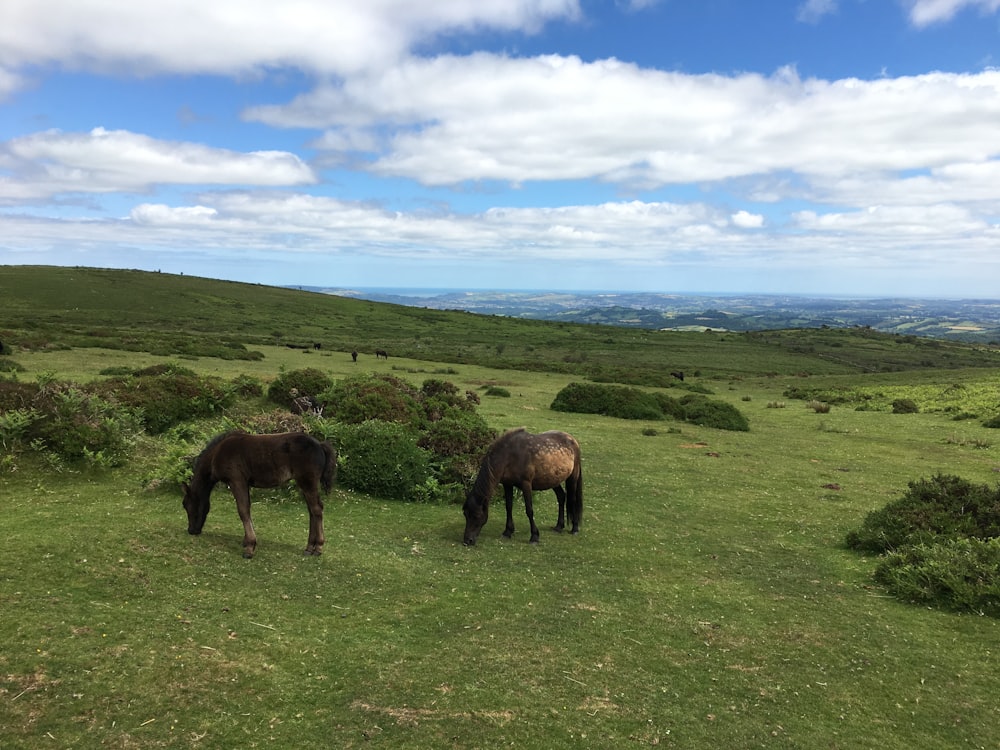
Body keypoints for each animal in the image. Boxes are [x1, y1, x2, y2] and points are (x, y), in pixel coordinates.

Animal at [181, 434, 336, 560]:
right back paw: (309, 547)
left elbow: (243, 511)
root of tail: (320, 444)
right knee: (312, 511)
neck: (217, 453)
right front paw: (246, 541)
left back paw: (318, 548)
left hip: (307, 482)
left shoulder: (237, 481)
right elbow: (247, 509)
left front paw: (250, 548)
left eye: (187, 505)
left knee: (317, 509)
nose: (191, 530)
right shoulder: (245, 484)